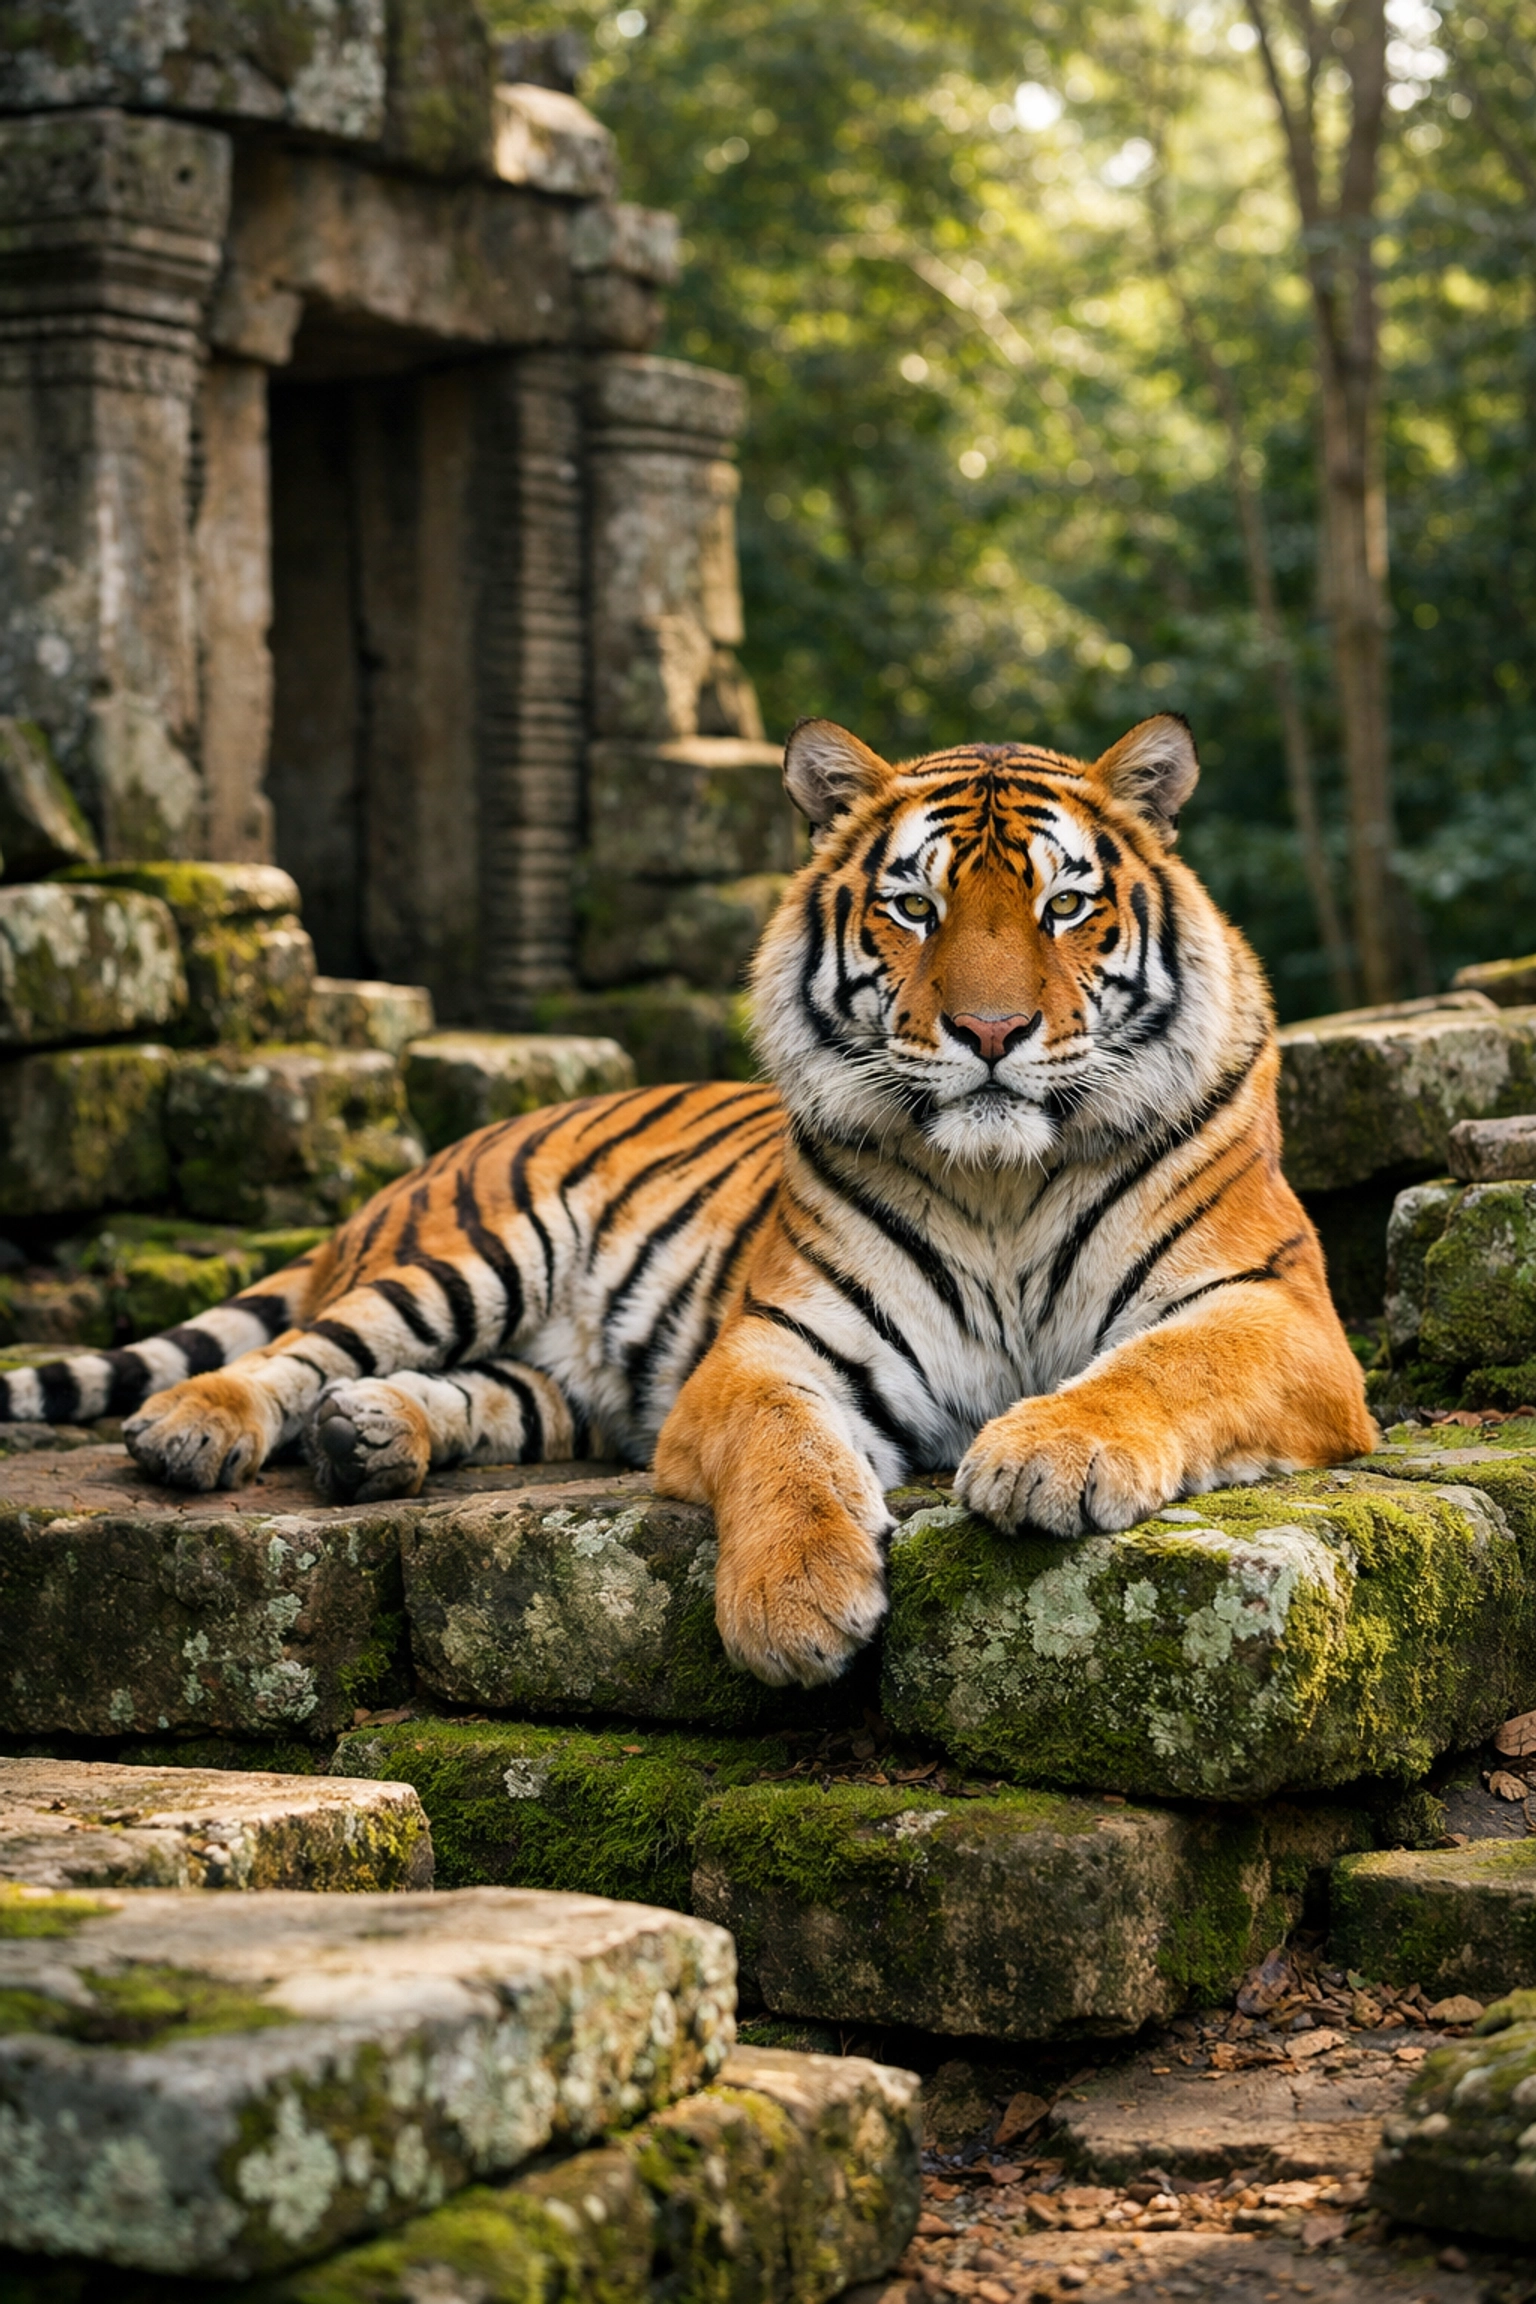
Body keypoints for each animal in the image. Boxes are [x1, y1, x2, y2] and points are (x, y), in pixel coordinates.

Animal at [0, 712, 1374, 1686]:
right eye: (914, 906)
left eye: (1066, 905)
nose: (989, 1034)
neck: (1003, 1184)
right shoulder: (767, 1347)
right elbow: (788, 1448)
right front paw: (795, 1606)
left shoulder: (1280, 1315)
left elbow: (1161, 1366)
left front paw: (1050, 1452)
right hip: (470, 1255)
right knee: (293, 1352)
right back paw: (197, 1428)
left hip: (556, 1381)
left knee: (491, 1396)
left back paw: (373, 1437)